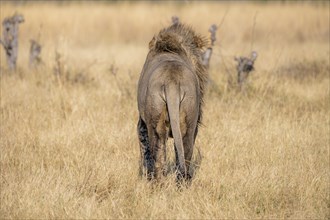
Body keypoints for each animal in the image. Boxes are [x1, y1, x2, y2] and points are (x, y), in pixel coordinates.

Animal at [136, 23, 208, 183]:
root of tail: (171, 81)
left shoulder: (142, 124)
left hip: (158, 121)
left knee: (160, 156)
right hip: (188, 122)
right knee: (181, 155)